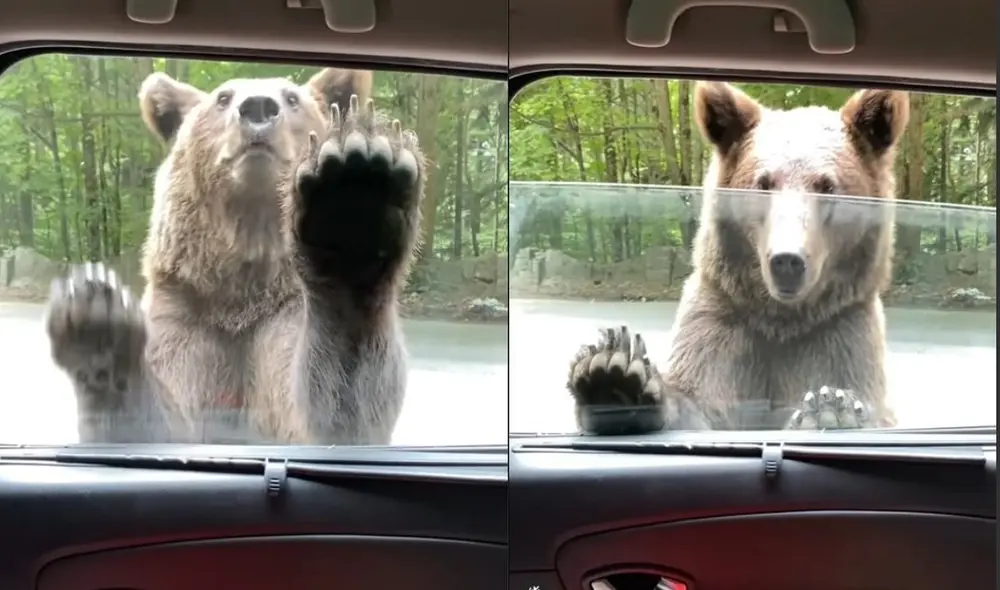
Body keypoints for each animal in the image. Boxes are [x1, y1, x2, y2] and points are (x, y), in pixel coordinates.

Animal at [44, 67, 425, 445]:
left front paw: (355, 192)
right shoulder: (186, 315)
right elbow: (167, 420)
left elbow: (326, 413)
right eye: (223, 98)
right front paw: (97, 320)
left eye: (292, 98)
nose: (258, 107)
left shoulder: (284, 315)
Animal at [568, 81, 909, 434]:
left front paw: (832, 410)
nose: (787, 261)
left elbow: (852, 387)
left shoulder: (839, 330)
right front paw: (613, 375)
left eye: (827, 185)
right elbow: (699, 399)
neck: (782, 319)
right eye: (763, 183)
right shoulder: (722, 322)